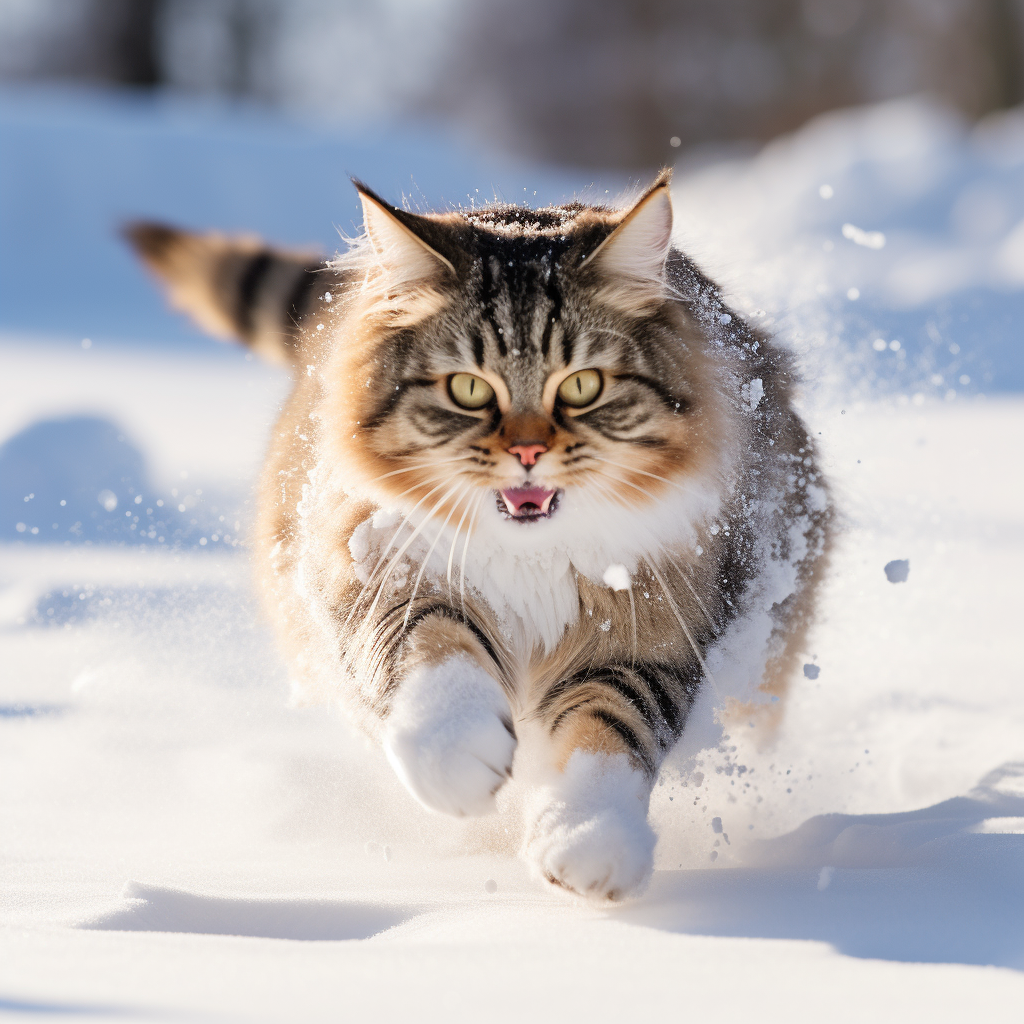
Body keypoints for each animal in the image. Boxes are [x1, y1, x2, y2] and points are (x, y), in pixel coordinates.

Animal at [125, 172, 831, 901]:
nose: (527, 452)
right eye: (468, 388)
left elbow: (608, 728)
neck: (532, 557)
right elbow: (429, 650)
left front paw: (587, 843)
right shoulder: (376, 565)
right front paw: (460, 761)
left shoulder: (659, 628)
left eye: (583, 385)